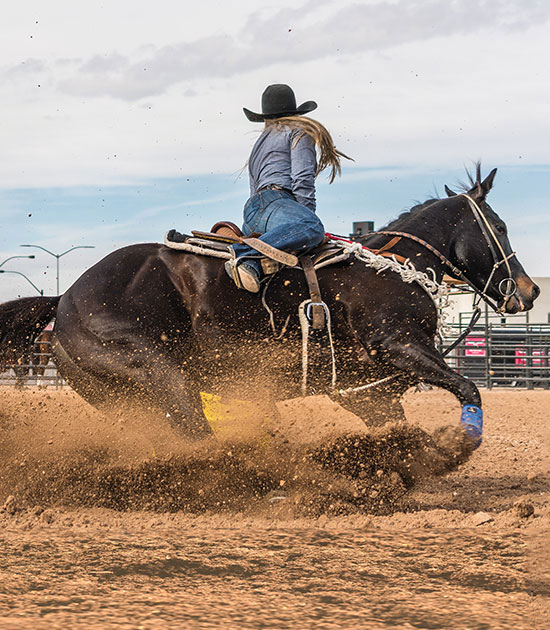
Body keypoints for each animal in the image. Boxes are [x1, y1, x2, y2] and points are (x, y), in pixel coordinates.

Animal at [0, 170, 540, 442]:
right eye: (499, 225)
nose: (530, 291)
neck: (390, 267)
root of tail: (65, 299)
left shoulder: (365, 391)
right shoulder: (398, 345)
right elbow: (469, 386)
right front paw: (461, 443)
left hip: (123, 399)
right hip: (158, 371)